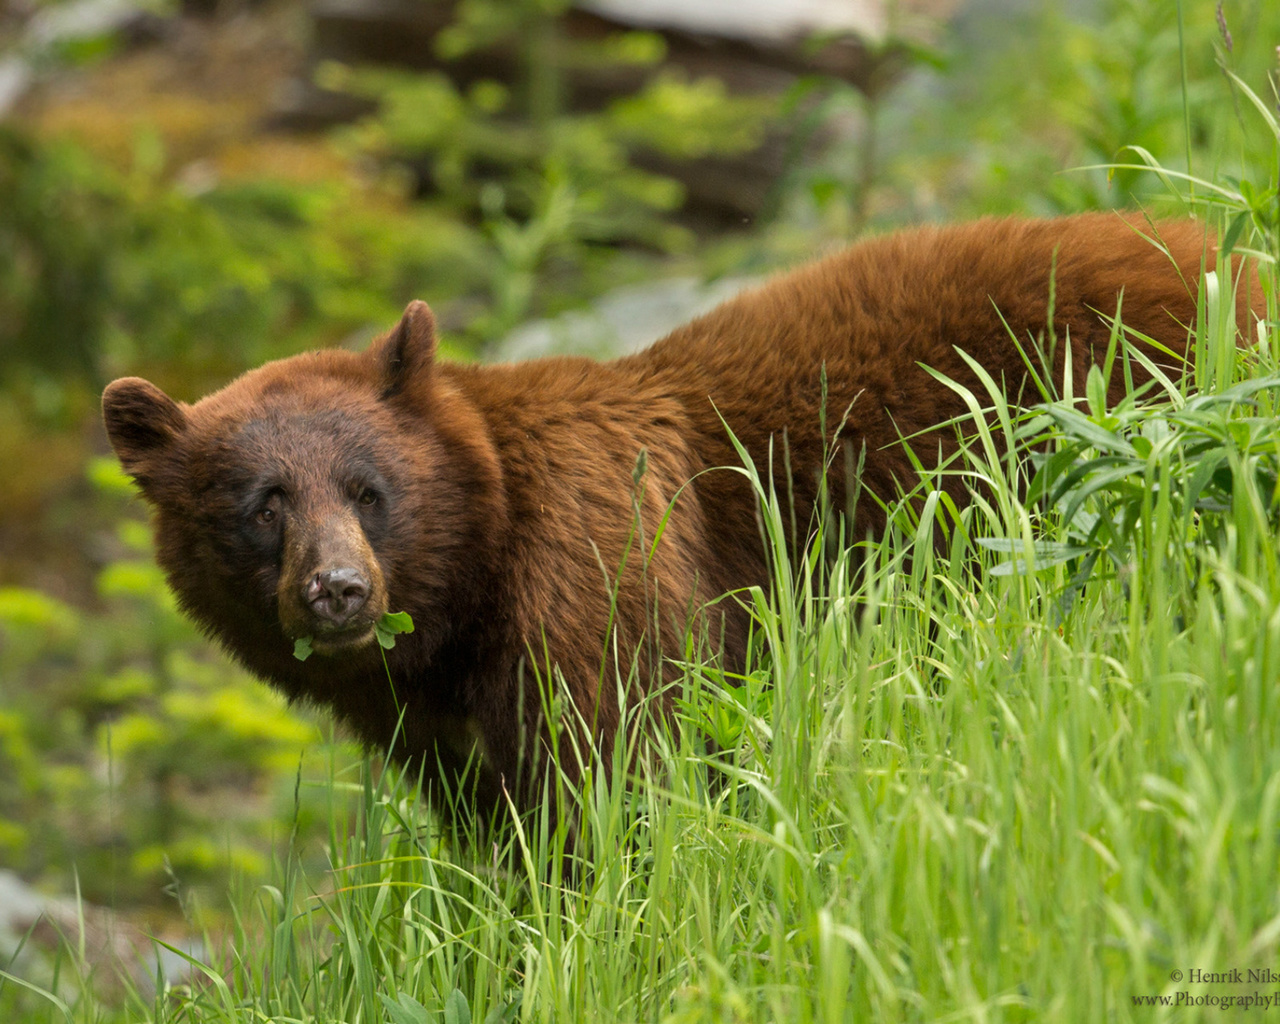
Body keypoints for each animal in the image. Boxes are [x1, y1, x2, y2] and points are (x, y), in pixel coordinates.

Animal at [102, 213, 1249, 814]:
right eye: (264, 504)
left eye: (369, 490)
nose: (337, 591)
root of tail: (1238, 264)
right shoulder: (430, 725)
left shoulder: (595, 573)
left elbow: (612, 771)